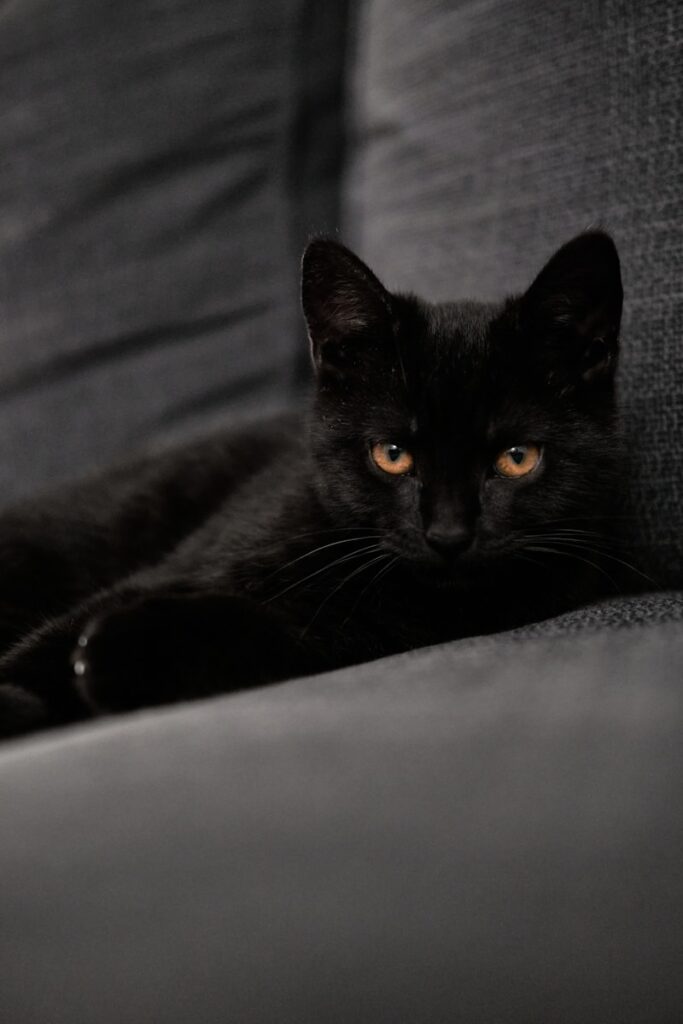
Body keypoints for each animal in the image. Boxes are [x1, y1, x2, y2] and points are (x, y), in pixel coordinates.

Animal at [0, 230, 630, 737]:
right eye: (392, 455)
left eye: (517, 458)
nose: (448, 534)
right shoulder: (190, 561)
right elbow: (60, 632)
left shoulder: (346, 634)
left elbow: (263, 632)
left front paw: (123, 652)